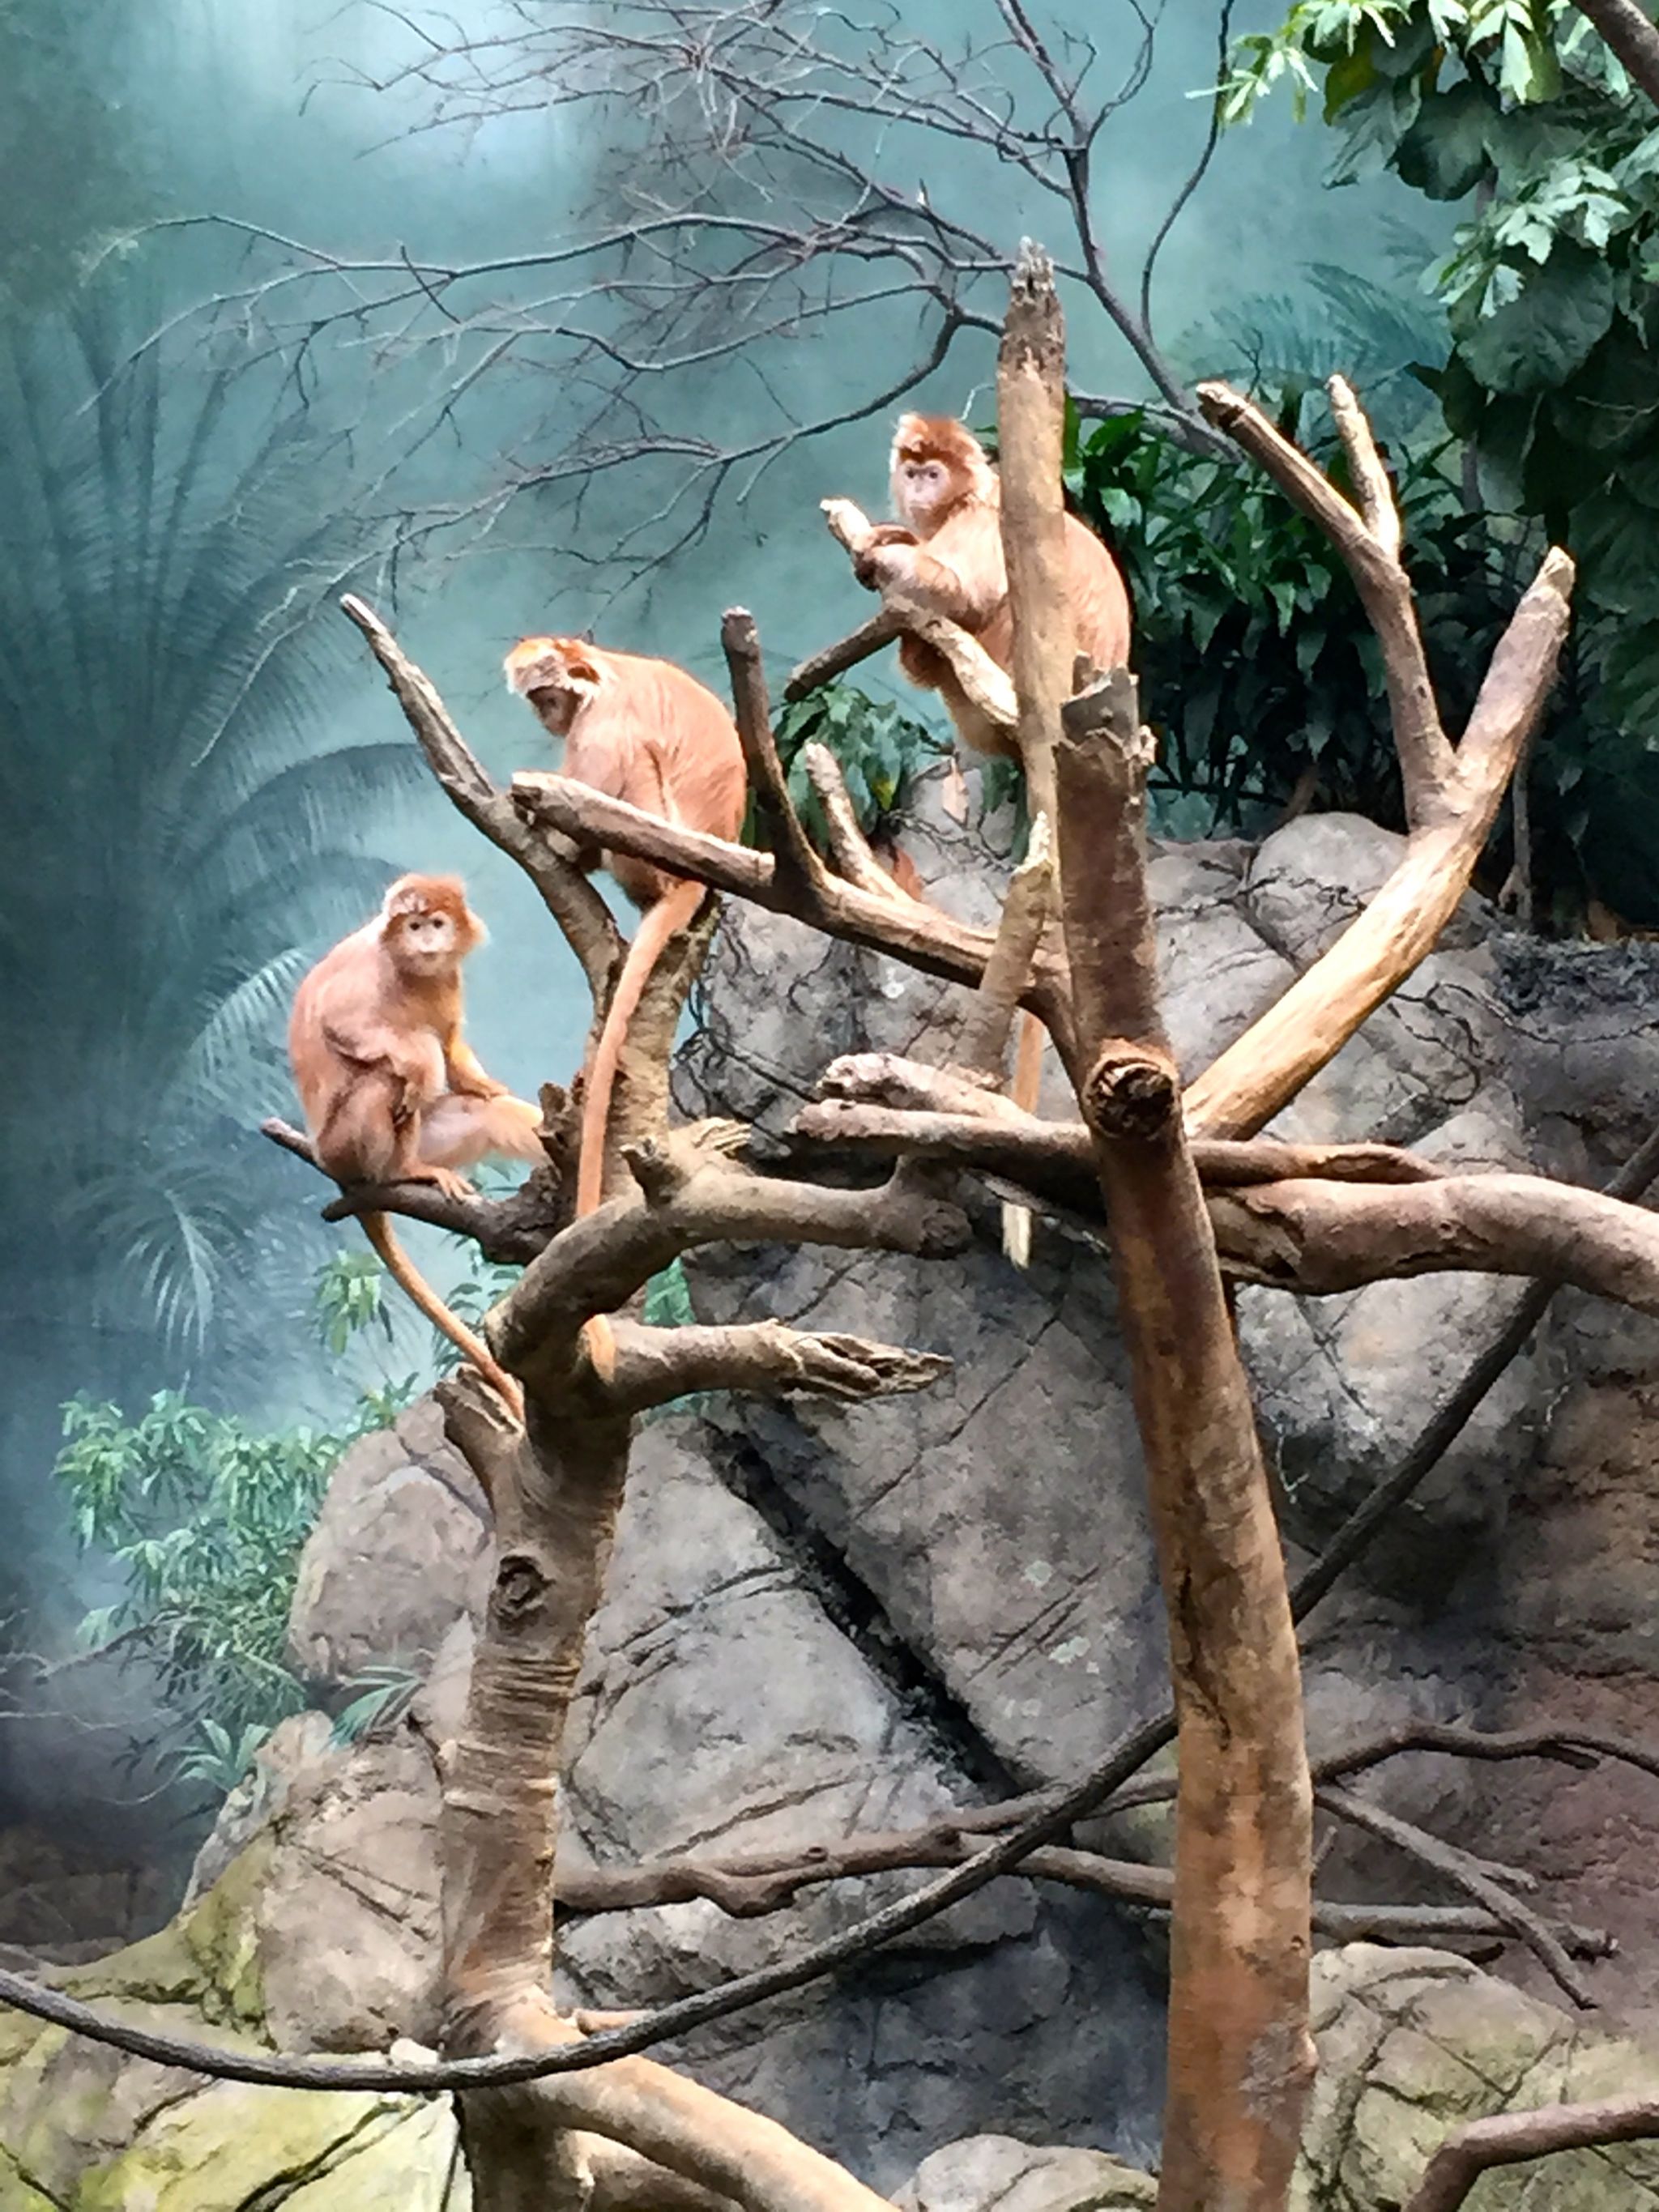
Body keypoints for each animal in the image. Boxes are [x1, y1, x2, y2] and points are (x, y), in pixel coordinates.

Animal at [288, 874, 542, 1417]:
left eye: (436, 924)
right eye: (414, 925)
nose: (427, 941)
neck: (410, 968)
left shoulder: (448, 979)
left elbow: (452, 1048)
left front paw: (486, 1084)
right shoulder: (368, 972)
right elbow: (347, 1026)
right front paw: (420, 1066)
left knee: (479, 1111)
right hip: (343, 1146)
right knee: (388, 1076)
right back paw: (404, 1170)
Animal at [504, 637, 747, 1368]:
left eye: (548, 694)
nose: (548, 715)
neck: (604, 669)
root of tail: (689, 877)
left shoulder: (602, 723)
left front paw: (549, 823)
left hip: (644, 846)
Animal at [852, 414, 1134, 1267]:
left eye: (933, 470)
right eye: (911, 466)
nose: (917, 488)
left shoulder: (979, 523)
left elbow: (964, 589)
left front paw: (889, 557)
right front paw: (886, 537)